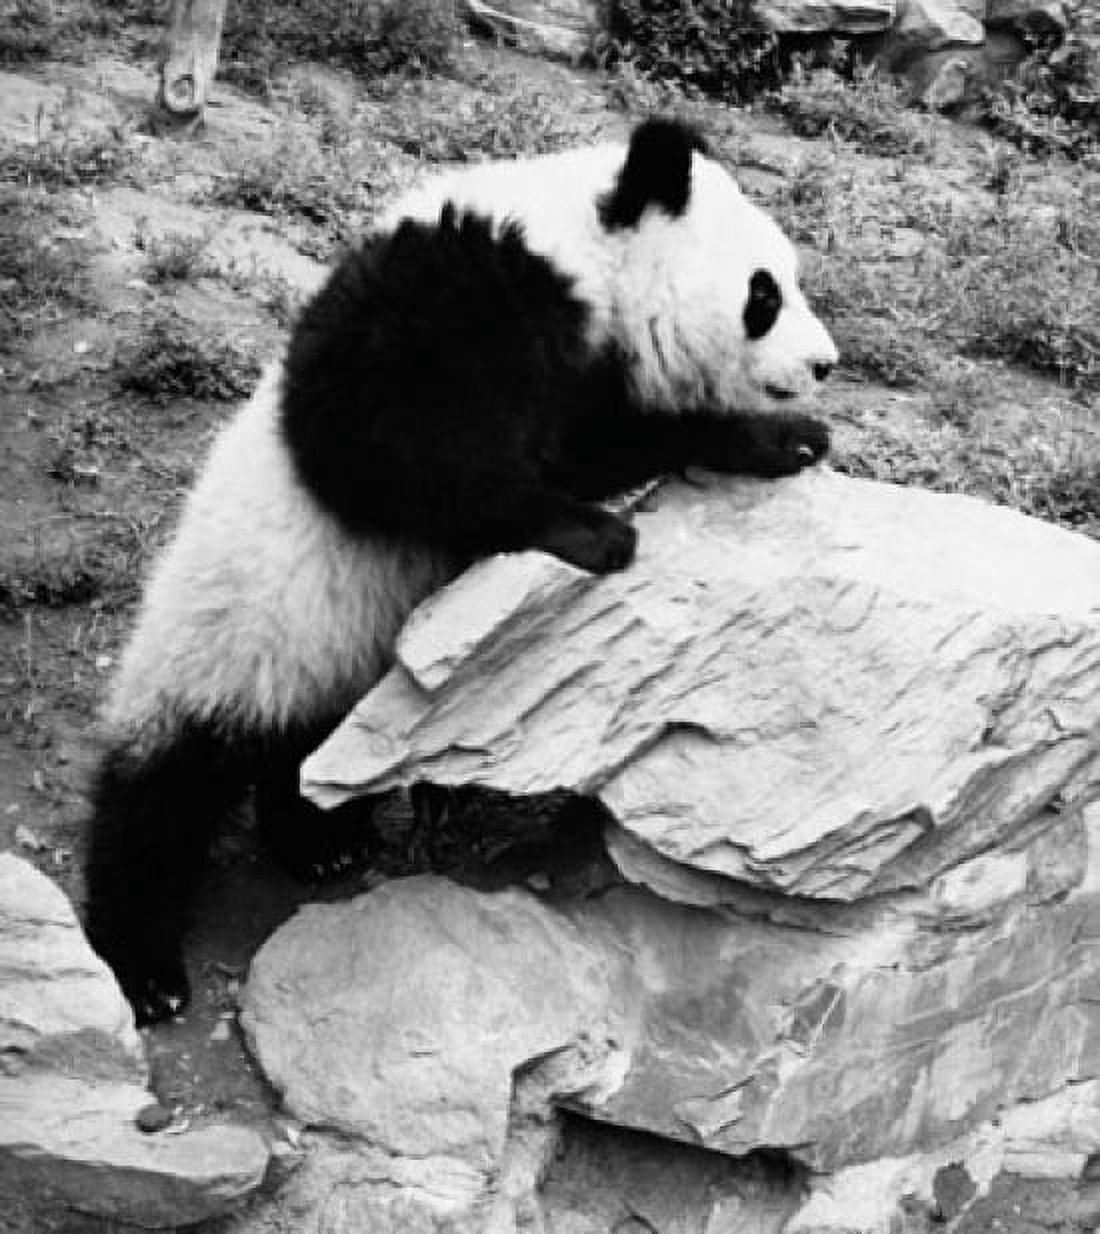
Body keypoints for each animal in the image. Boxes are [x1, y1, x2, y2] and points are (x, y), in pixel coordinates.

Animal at [84, 118, 839, 1025]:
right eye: (765, 293)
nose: (826, 363)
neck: (578, 251)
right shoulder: (450, 299)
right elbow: (394, 452)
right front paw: (592, 533)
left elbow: (593, 443)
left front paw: (785, 440)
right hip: (234, 634)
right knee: (161, 794)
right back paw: (146, 966)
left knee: (294, 757)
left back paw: (321, 842)